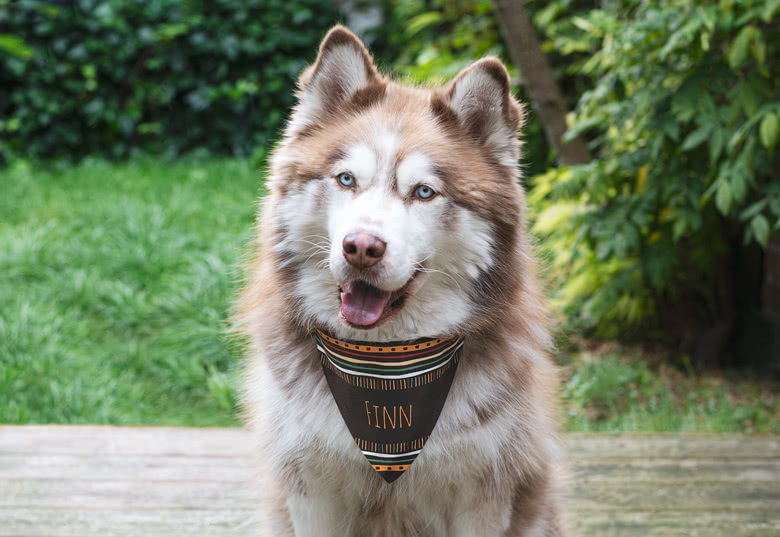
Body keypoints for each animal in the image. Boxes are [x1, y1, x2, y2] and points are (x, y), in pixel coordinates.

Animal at [238, 25, 568, 536]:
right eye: (346, 179)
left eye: (424, 192)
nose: (361, 248)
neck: (386, 365)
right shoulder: (308, 488)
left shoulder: (485, 491)